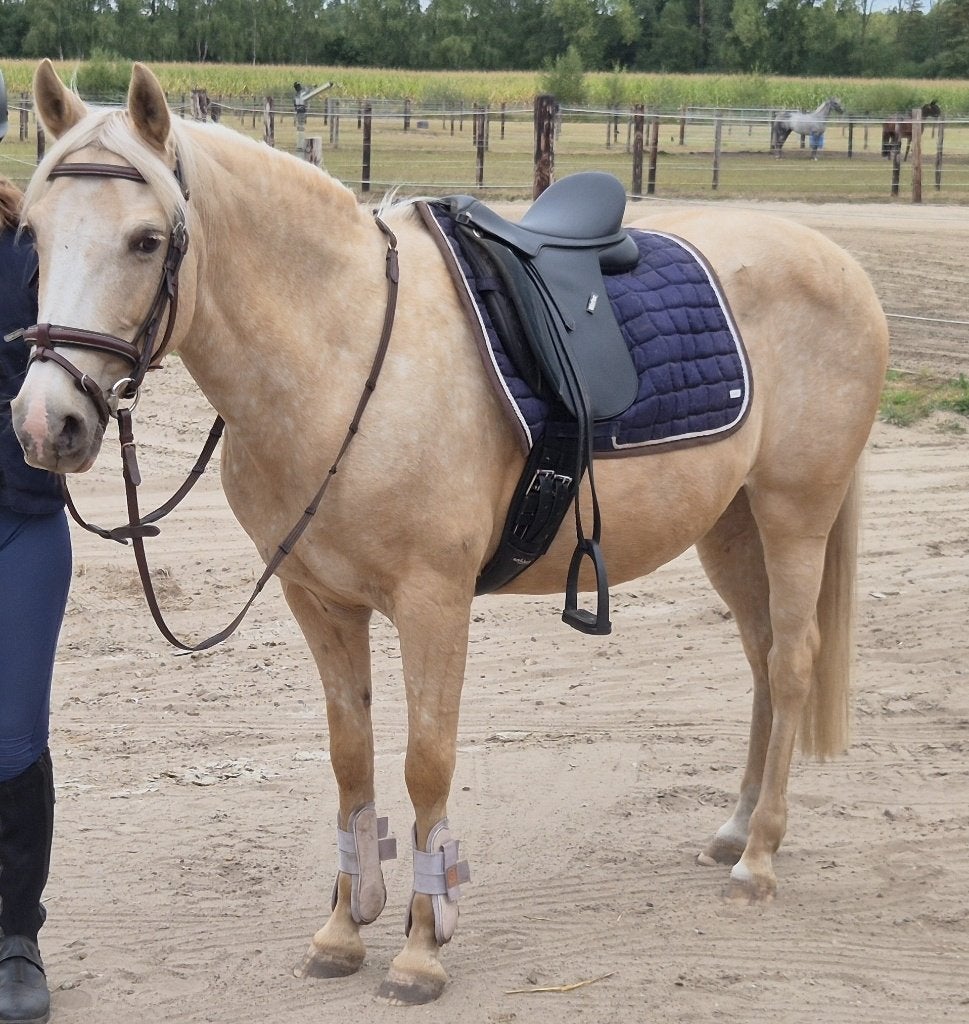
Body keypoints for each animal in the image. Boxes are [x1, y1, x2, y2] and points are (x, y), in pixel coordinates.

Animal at [14, 61, 889, 1005]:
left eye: (145, 241)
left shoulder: (432, 602)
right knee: (761, 659)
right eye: (34, 233)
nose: (47, 423)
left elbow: (424, 761)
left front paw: (421, 945)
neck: (345, 350)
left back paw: (757, 858)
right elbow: (350, 757)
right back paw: (733, 827)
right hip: (730, 528)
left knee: (792, 663)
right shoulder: (319, 600)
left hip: (793, 514)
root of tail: (835, 260)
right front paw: (343, 928)